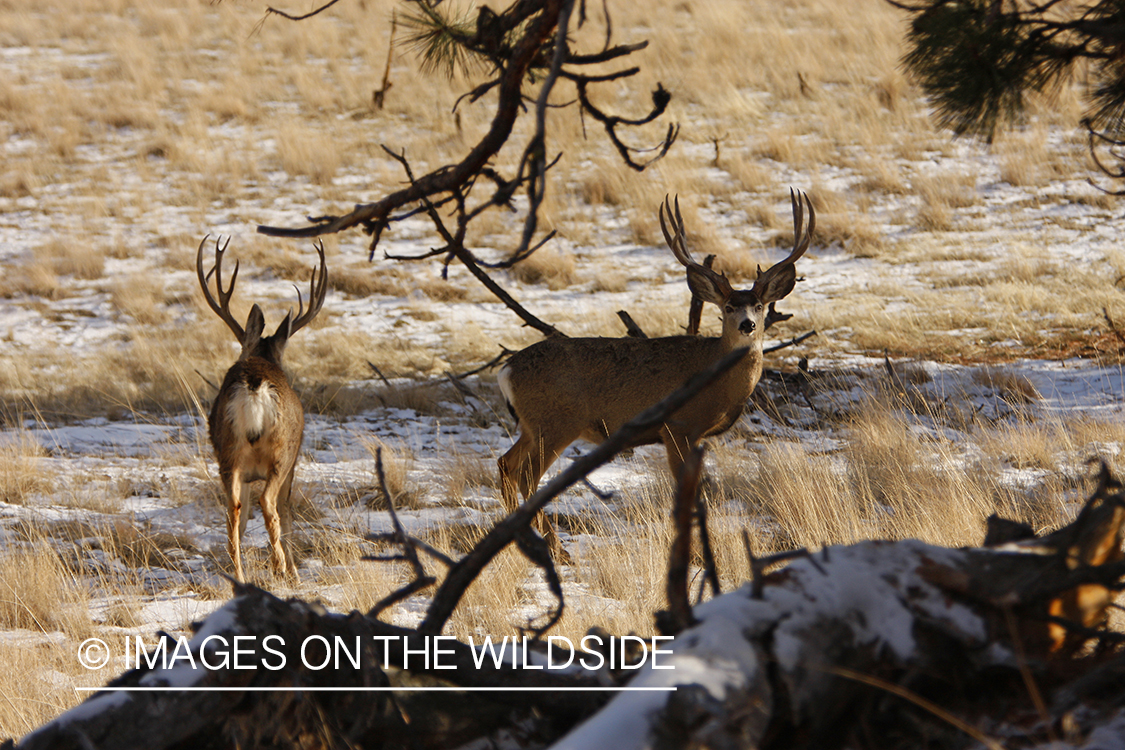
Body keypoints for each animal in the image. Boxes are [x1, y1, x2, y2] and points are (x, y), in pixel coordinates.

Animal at [196, 236, 327, 582]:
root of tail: (255, 384)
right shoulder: (293, 463)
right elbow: (287, 511)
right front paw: (293, 570)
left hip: (228, 452)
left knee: (234, 510)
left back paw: (239, 575)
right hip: (281, 452)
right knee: (268, 502)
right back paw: (280, 566)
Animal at [497, 190, 814, 538]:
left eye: (759, 305)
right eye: (728, 307)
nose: (748, 325)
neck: (716, 380)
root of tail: (506, 369)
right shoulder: (677, 425)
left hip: (532, 425)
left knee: (505, 464)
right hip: (556, 422)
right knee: (527, 476)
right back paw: (556, 546)